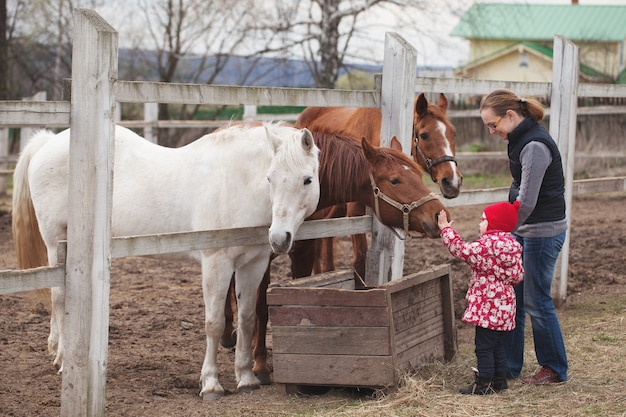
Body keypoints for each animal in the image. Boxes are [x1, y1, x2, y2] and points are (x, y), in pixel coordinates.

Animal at [12, 123, 320, 400]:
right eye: (270, 178)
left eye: (307, 179)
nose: (279, 238)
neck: (234, 183)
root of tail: (48, 143)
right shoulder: (216, 264)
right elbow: (214, 323)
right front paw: (211, 384)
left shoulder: (252, 264)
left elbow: (247, 319)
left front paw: (246, 378)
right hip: (55, 242)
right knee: (59, 297)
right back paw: (64, 359)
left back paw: (57, 350)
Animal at [224, 130, 448, 384]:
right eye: (395, 180)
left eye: (419, 176)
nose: (440, 214)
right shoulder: (262, 257)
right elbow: (261, 306)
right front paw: (260, 364)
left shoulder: (303, 251)